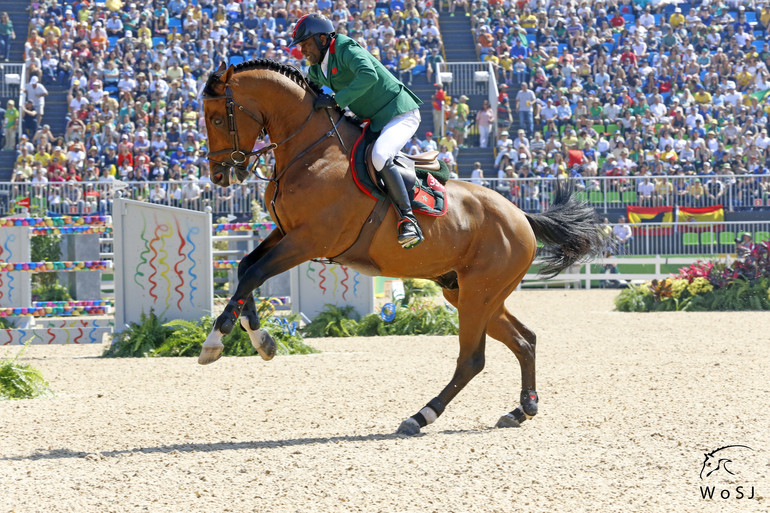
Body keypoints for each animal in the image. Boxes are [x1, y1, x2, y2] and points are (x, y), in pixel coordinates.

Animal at [195, 61, 604, 436]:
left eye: (216, 119)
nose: (219, 175)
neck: (309, 151)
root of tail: (521, 216)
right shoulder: (285, 233)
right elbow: (245, 268)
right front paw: (260, 338)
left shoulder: (308, 240)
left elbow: (256, 272)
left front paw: (217, 338)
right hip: (469, 292)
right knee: (524, 340)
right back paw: (521, 409)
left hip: (478, 294)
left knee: (472, 359)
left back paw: (422, 415)